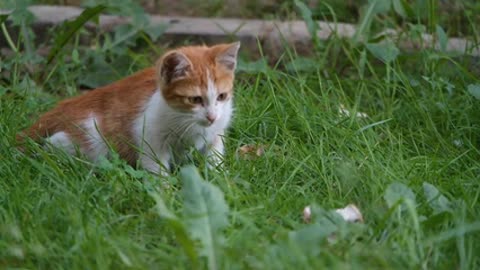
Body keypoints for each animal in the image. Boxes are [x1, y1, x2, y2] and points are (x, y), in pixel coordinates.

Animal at [17, 41, 242, 174]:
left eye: (221, 96)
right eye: (194, 99)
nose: (212, 117)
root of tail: (62, 106)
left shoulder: (216, 133)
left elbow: (215, 156)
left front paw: (220, 179)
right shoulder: (149, 135)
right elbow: (156, 166)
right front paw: (165, 193)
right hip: (88, 138)